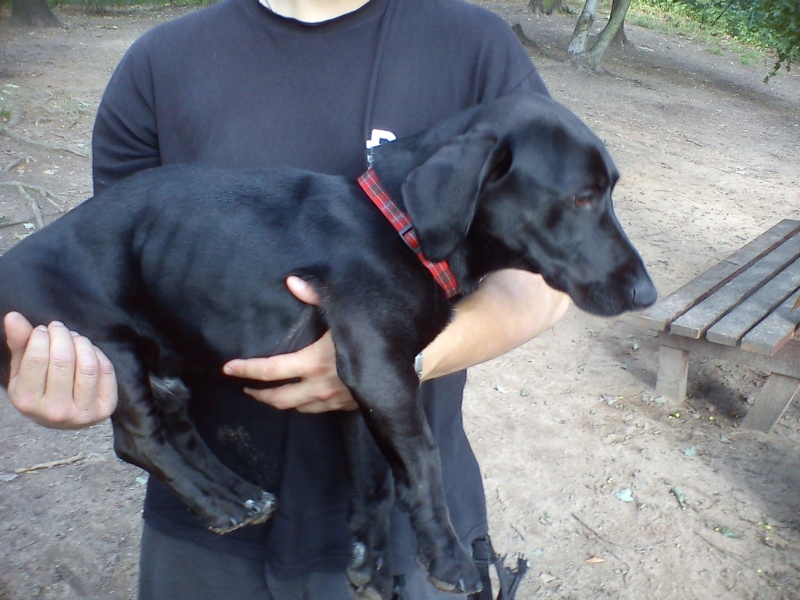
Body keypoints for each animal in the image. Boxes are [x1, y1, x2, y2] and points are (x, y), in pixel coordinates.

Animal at [0, 92, 656, 596]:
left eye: (608, 191)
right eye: (581, 197)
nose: (647, 293)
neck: (399, 227)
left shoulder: (358, 387)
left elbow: (376, 478)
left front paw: (373, 561)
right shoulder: (380, 370)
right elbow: (423, 465)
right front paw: (447, 559)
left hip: (166, 362)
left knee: (179, 432)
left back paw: (236, 495)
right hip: (110, 348)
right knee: (139, 440)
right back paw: (216, 507)